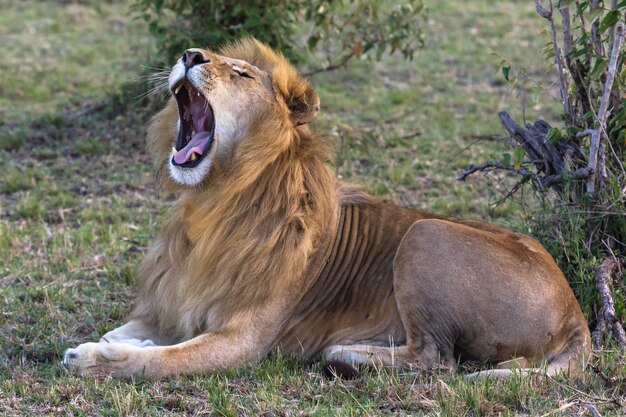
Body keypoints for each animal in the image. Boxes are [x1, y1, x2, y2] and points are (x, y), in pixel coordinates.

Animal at [63, 37, 588, 378]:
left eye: (240, 72)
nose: (189, 56)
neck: (214, 201)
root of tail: (575, 313)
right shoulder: (175, 304)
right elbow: (124, 330)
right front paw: (119, 341)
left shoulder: (243, 341)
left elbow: (157, 360)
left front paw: (93, 359)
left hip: (425, 234)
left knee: (435, 358)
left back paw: (346, 354)